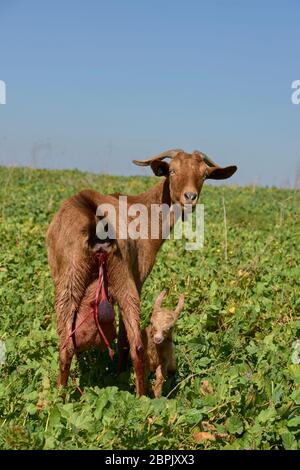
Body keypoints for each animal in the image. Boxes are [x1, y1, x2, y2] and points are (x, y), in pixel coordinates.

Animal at [46, 149, 237, 394]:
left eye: (204, 174)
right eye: (172, 170)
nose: (190, 197)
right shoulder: (136, 279)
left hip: (74, 277)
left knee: (68, 345)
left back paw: (62, 395)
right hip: (120, 278)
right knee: (136, 344)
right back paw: (140, 395)